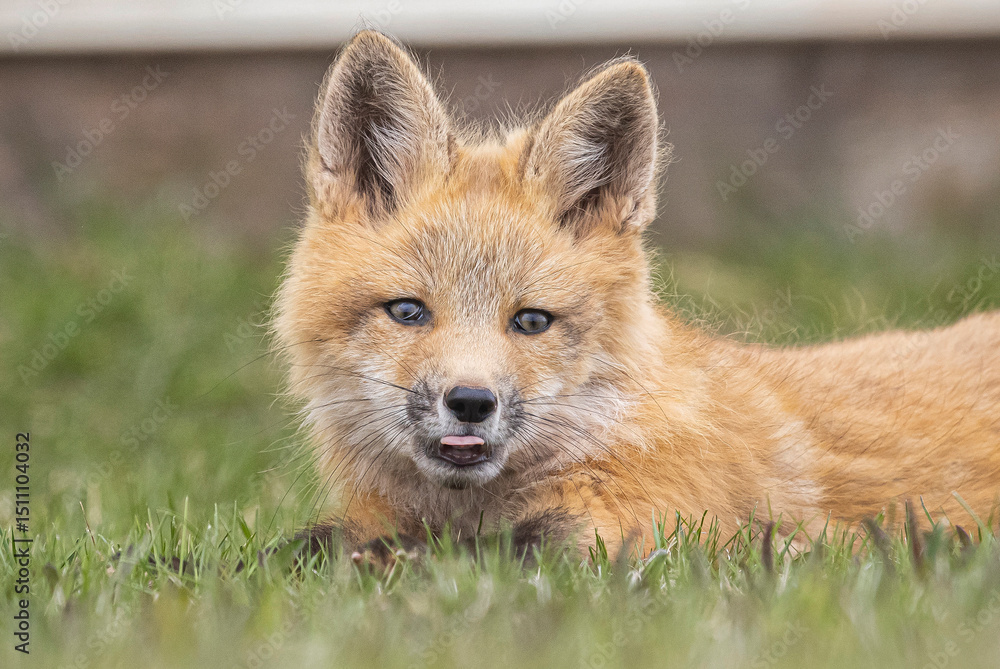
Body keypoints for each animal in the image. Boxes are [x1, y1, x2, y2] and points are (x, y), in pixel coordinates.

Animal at [273, 30, 1000, 562]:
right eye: (408, 312)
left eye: (530, 321)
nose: (471, 403)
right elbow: (298, 548)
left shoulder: (648, 534)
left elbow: (476, 555)